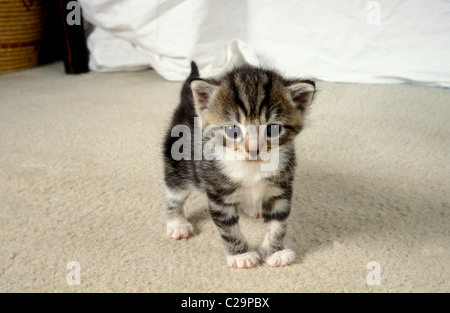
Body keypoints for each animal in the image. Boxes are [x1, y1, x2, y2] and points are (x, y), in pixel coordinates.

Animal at [163, 61, 314, 268]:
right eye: (232, 130)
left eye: (273, 129)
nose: (253, 150)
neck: (251, 169)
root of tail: (187, 101)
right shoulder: (218, 194)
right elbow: (228, 228)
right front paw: (242, 255)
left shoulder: (280, 187)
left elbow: (278, 221)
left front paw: (276, 251)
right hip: (178, 165)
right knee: (175, 193)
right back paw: (177, 223)